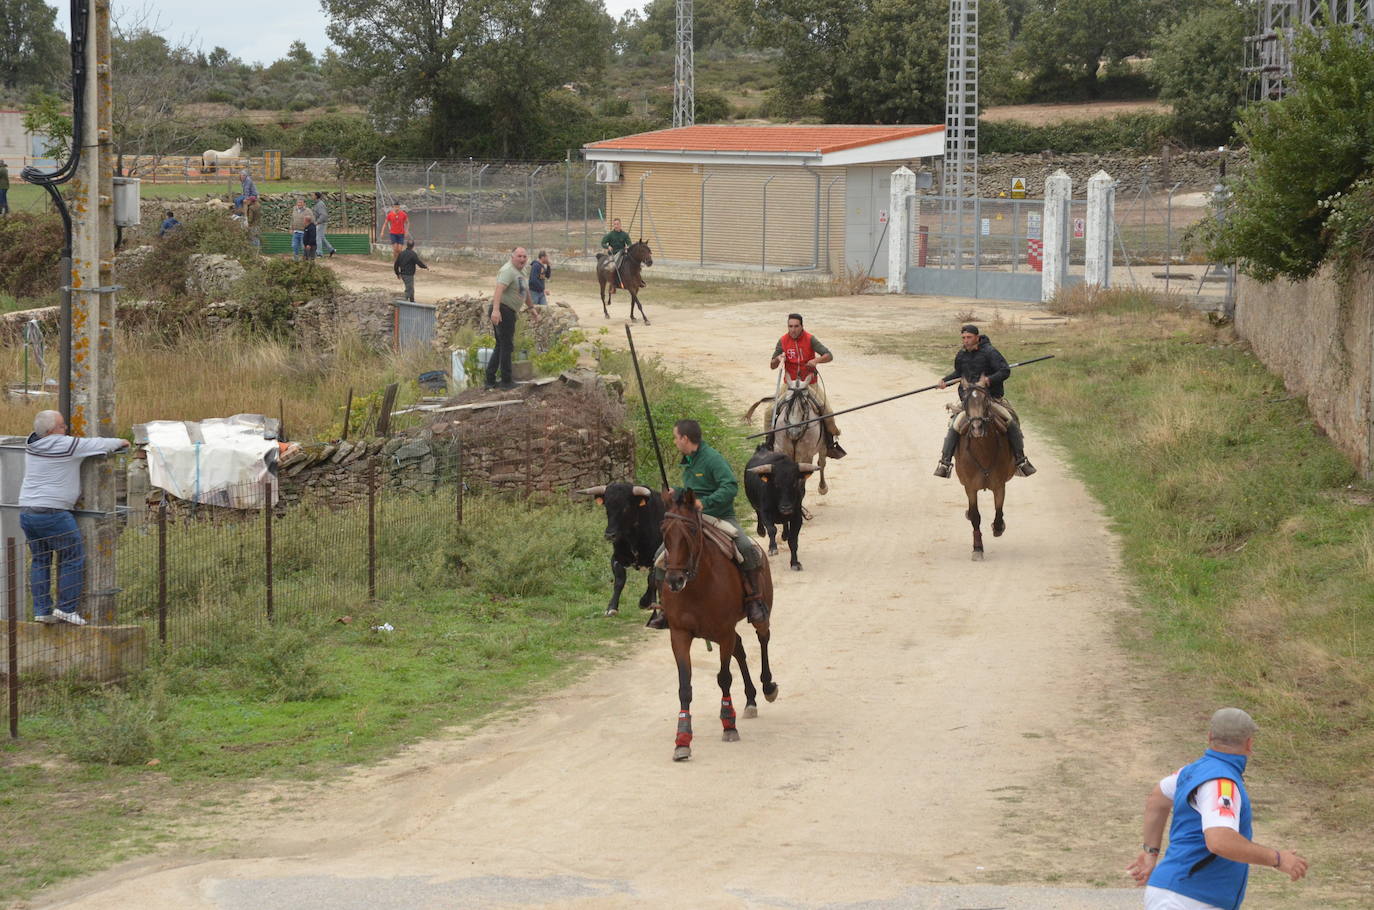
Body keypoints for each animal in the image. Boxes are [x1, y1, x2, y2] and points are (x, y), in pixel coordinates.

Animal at [579, 481, 665, 615]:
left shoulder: (655, 559)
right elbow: (619, 581)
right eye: (607, 507)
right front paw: (612, 607)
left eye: (626, 507)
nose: (609, 535)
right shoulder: (617, 558)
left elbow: (651, 580)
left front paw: (647, 602)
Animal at [659, 492, 780, 764]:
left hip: (758, 614)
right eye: (663, 531)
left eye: (692, 530)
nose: (674, 580)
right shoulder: (679, 635)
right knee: (741, 649)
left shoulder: (723, 631)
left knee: (763, 638)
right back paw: (750, 700)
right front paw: (682, 740)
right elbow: (685, 687)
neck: (697, 585)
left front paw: (729, 725)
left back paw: (767, 687)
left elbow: (724, 677)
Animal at [956, 379, 1022, 563]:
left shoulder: (999, 486)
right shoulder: (970, 488)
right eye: (965, 401)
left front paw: (998, 528)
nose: (977, 427)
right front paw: (977, 549)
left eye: (986, 401)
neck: (983, 451)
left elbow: (998, 511)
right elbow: (975, 516)